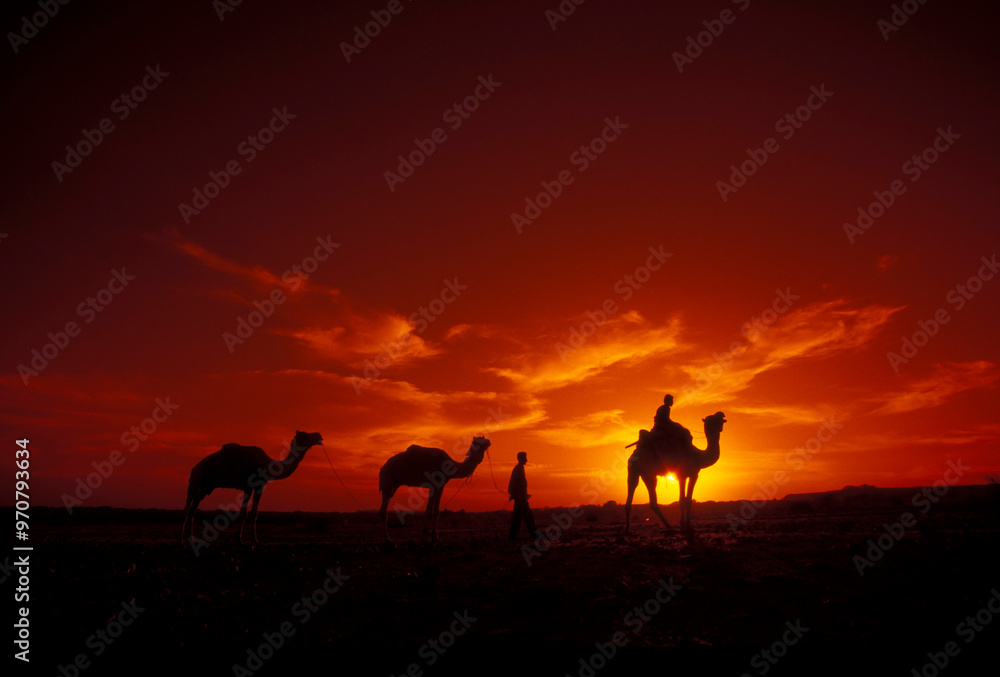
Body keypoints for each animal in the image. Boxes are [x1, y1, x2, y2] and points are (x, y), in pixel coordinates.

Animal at [178, 430, 322, 548]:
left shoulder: (260, 486)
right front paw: (239, 541)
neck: (266, 464)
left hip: (207, 487)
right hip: (195, 479)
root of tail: (195, 467)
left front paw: (256, 541)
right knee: (186, 509)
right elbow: (243, 513)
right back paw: (181, 542)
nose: (319, 435)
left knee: (193, 509)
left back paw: (192, 540)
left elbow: (254, 513)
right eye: (305, 435)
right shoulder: (248, 484)